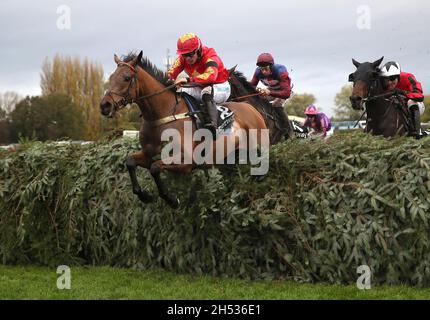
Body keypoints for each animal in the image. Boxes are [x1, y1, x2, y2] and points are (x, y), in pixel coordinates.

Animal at [101, 50, 268, 208]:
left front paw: (171, 199)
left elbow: (155, 168)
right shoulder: (148, 154)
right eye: (111, 77)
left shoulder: (187, 161)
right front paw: (144, 195)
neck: (162, 113)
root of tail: (252, 109)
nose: (104, 106)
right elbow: (130, 161)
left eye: (126, 78)